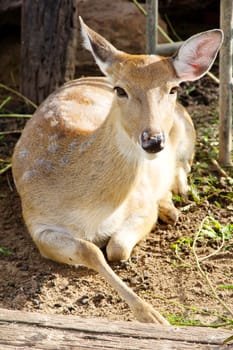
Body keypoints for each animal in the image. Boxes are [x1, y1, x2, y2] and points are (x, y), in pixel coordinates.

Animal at [11, 18, 223, 326]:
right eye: (120, 89)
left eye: (173, 89)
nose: (153, 140)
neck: (93, 211)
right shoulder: (36, 221)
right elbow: (90, 250)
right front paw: (152, 316)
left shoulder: (142, 203)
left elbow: (116, 247)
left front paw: (155, 317)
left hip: (187, 130)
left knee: (183, 167)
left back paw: (171, 205)